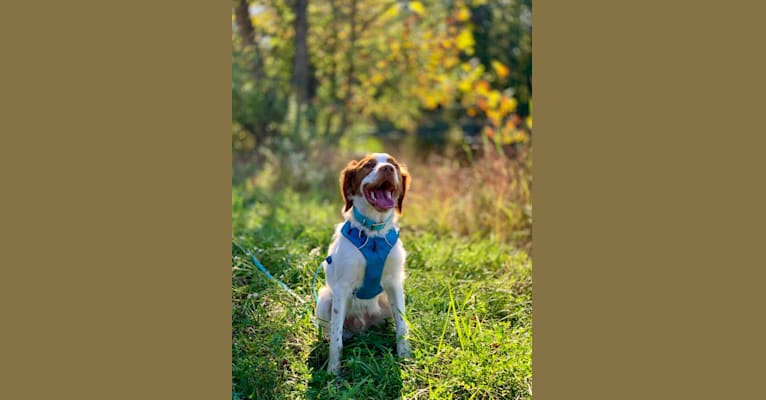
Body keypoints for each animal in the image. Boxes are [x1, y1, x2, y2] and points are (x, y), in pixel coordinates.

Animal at [316, 152, 414, 376]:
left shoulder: (395, 283)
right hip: (325, 298)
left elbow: (402, 327)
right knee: (333, 332)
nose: (387, 169)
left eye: (394, 165)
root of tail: (361, 326)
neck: (373, 233)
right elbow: (336, 341)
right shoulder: (342, 288)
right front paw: (333, 372)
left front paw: (404, 358)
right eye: (368, 165)